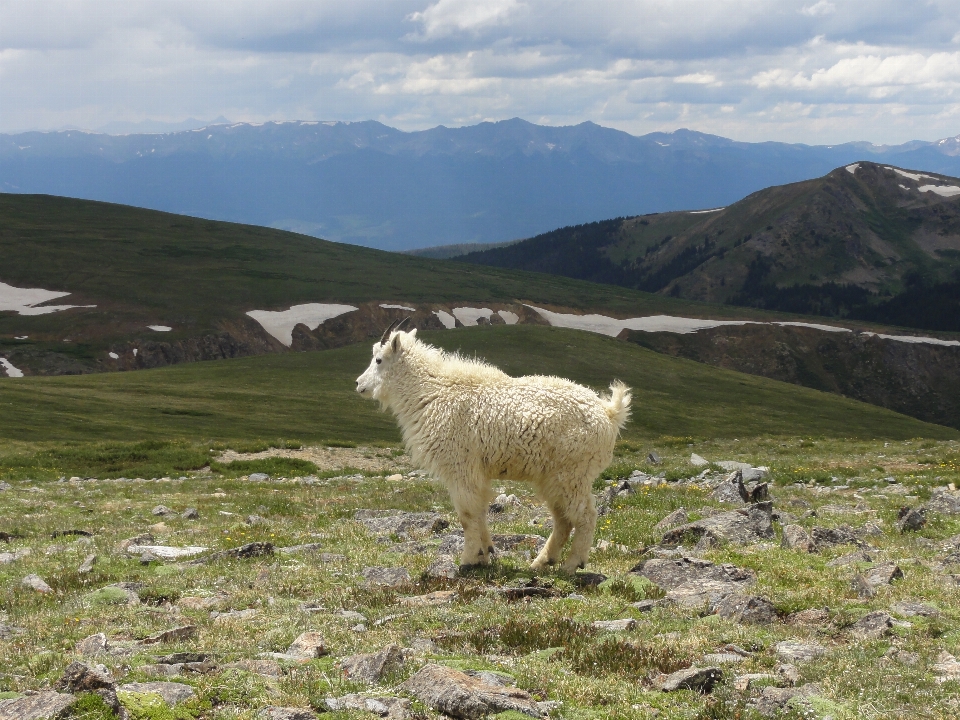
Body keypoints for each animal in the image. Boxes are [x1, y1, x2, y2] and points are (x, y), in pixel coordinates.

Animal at [352, 320, 632, 572]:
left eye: (378, 359)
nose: (358, 384)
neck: (431, 392)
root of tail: (609, 413)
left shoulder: (461, 466)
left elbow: (467, 515)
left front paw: (468, 560)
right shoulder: (476, 472)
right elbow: (479, 512)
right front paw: (486, 553)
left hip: (572, 473)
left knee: (585, 515)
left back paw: (572, 565)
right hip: (553, 477)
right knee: (563, 519)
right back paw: (542, 562)